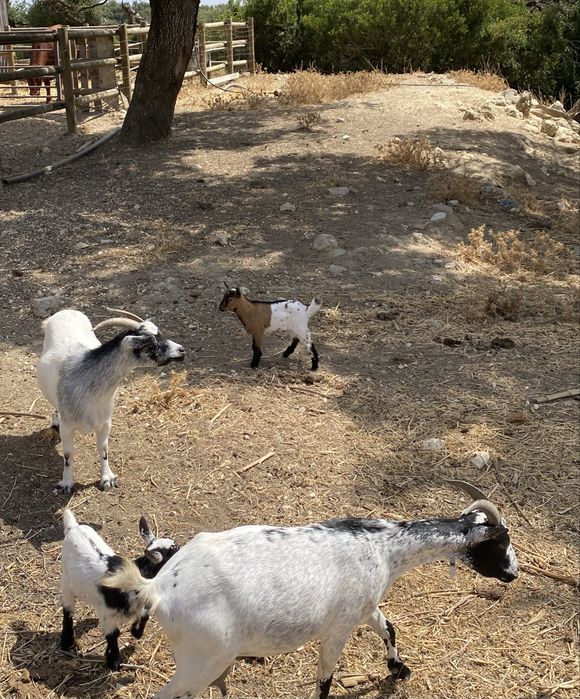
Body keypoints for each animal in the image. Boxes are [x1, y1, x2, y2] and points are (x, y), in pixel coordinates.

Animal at [37, 308, 185, 494]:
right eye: (149, 343)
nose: (181, 350)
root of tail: (67, 311)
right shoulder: (68, 427)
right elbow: (69, 453)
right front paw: (66, 483)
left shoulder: (105, 423)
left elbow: (103, 448)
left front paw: (107, 478)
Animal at [61, 509, 180, 670]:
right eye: (174, 550)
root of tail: (74, 527)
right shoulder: (107, 613)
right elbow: (113, 634)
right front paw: (114, 661)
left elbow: (144, 616)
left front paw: (135, 632)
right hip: (67, 580)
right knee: (67, 610)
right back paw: (66, 642)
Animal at [101, 482, 519, 699]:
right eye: (500, 543)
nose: (514, 573)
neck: (385, 547)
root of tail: (159, 587)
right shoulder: (337, 629)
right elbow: (325, 678)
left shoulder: (364, 608)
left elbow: (389, 629)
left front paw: (399, 669)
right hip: (202, 660)